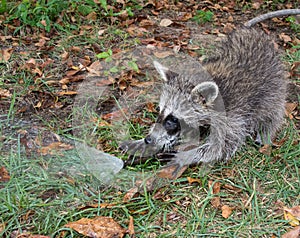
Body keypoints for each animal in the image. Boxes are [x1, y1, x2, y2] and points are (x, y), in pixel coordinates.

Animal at [120, 9, 300, 174]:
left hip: (273, 84)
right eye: (160, 111)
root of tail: (252, 31)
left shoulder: (233, 116)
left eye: (173, 120)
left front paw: (188, 155)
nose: (148, 139)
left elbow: (221, 146)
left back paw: (266, 130)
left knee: (271, 110)